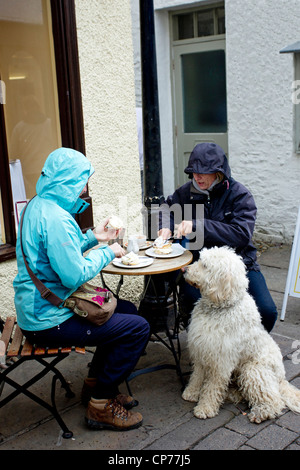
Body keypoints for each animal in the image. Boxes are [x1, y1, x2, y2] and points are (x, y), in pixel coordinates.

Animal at [183, 246, 300, 422]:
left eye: (204, 265)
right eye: (200, 259)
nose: (184, 270)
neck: (221, 308)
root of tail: (282, 379)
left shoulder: (220, 361)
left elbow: (212, 386)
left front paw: (205, 408)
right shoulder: (201, 350)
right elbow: (197, 375)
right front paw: (191, 393)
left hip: (253, 370)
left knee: (275, 400)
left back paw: (261, 412)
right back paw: (232, 394)